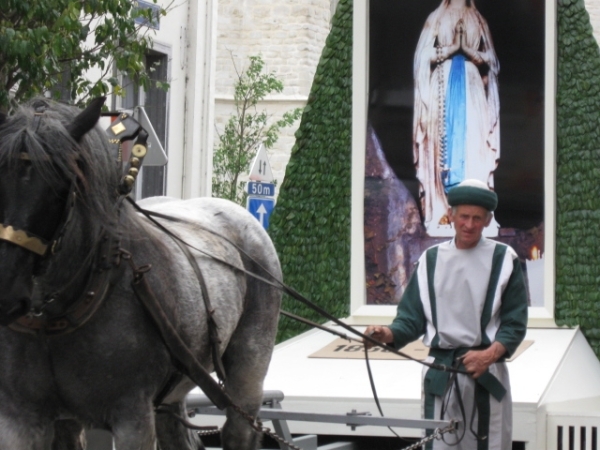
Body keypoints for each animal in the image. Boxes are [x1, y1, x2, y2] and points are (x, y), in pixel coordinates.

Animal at [0, 96, 282, 448]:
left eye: (60, 187)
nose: (6, 292)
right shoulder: (20, 418)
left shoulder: (132, 415)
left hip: (249, 368)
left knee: (239, 426)